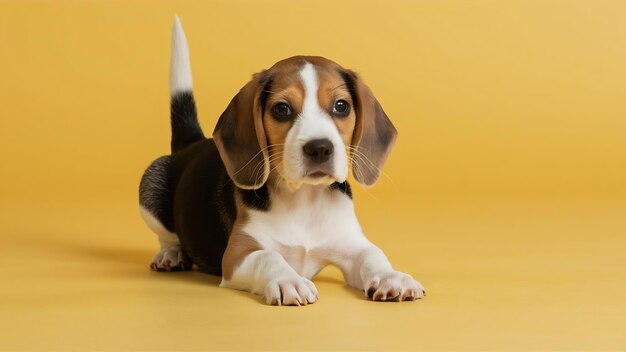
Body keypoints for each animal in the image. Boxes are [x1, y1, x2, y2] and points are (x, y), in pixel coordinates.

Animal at [139, 17, 424, 306]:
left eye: (341, 106)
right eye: (282, 109)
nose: (320, 148)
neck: (304, 200)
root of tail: (192, 143)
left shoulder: (351, 244)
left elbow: (373, 254)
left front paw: (391, 277)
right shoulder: (237, 254)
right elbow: (269, 257)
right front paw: (290, 280)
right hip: (150, 187)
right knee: (166, 236)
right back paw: (172, 254)